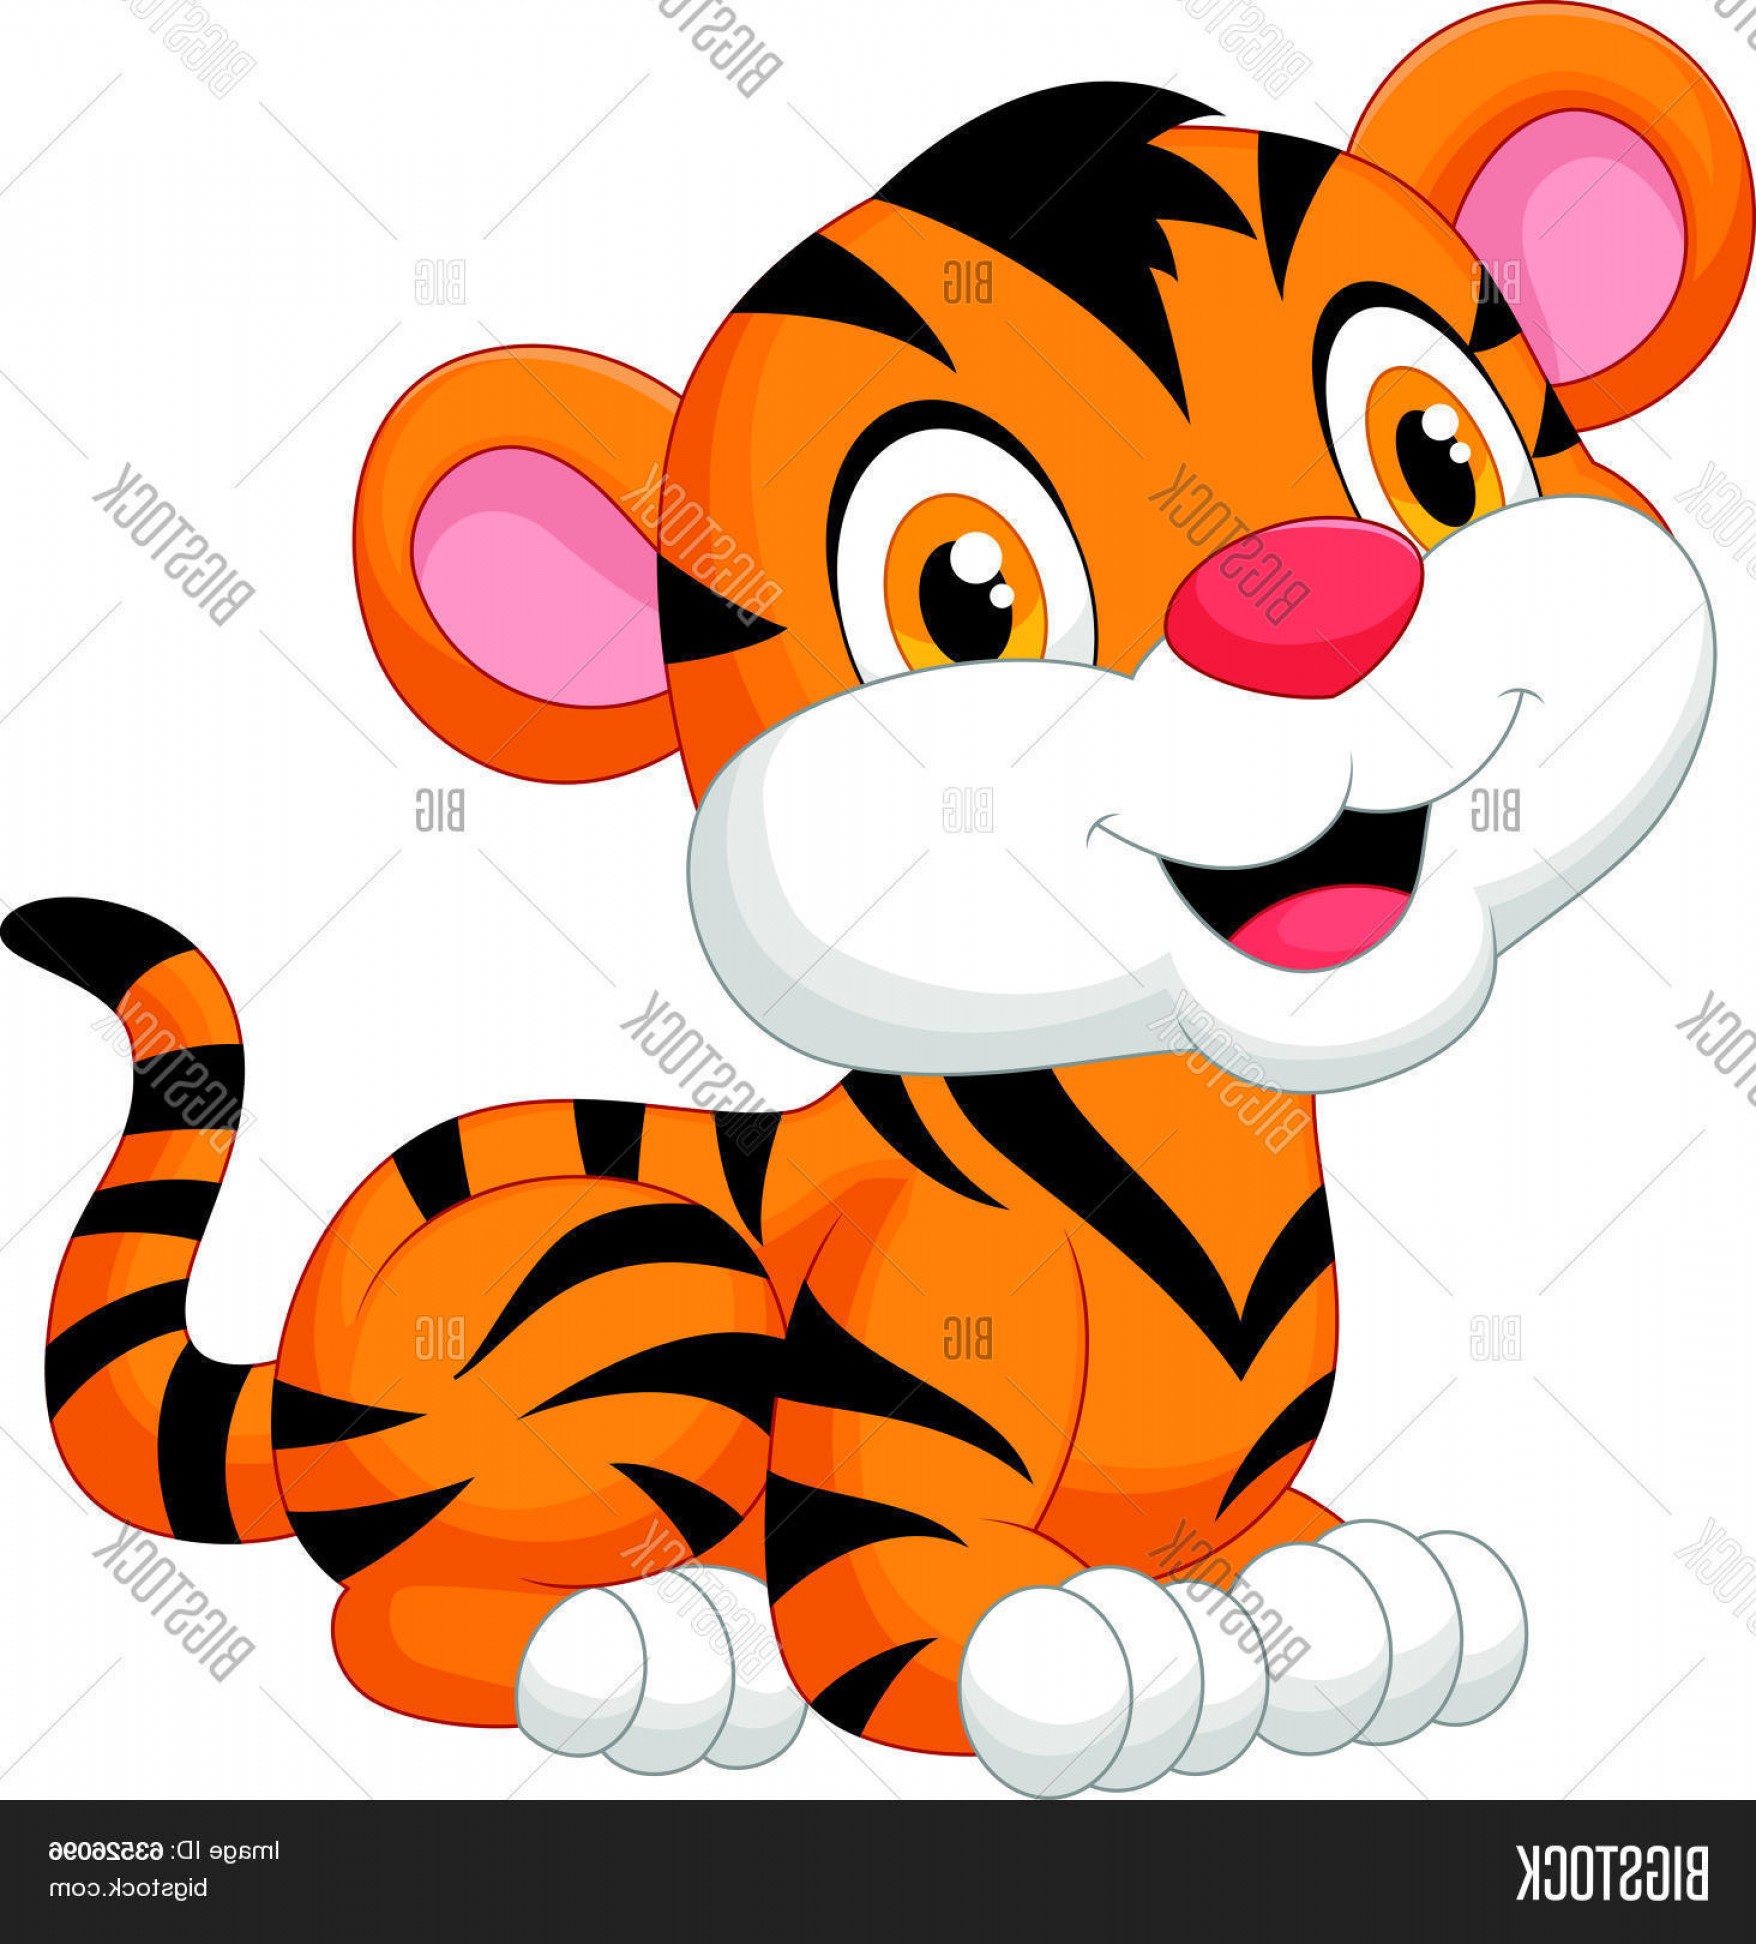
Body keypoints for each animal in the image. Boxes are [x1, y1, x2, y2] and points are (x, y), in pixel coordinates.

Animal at [5, 2, 1749, 1796]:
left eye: (1433, 451)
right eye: (966, 591)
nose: (1313, 609)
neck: (1204, 1138)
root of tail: (297, 1344)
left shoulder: (1227, 1497)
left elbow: (1292, 1547)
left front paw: (1371, 1598)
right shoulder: (881, 1501)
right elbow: (984, 1619)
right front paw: (1119, 1654)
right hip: (640, 1278)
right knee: (392, 1608)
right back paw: (655, 1645)